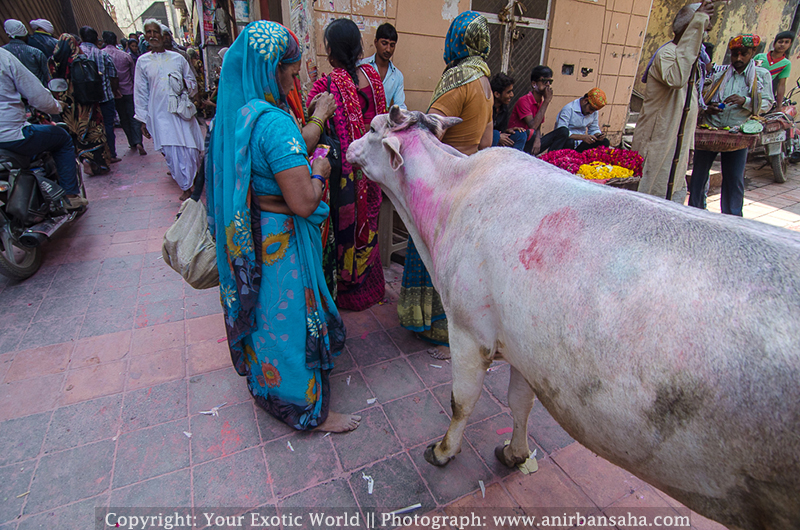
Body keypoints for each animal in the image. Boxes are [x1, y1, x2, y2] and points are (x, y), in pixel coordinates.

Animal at [348, 106, 800, 528]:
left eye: (371, 128)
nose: (348, 148)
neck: (451, 197)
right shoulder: (524, 348)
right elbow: (520, 403)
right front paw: (515, 453)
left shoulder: (469, 331)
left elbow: (462, 402)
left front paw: (443, 451)